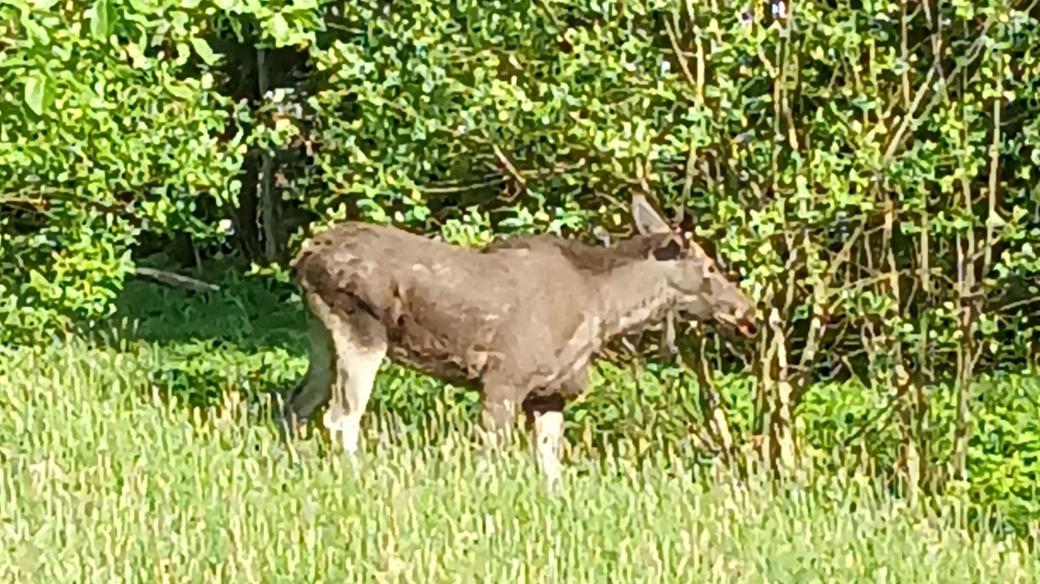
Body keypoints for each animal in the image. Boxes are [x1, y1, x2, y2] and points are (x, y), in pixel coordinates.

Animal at [278, 193, 757, 480]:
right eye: (709, 266)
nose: (747, 310)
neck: (605, 308)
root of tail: (303, 255)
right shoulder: (503, 379)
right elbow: (491, 456)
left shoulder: (550, 394)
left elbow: (550, 468)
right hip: (361, 331)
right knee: (341, 417)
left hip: (322, 338)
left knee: (296, 406)